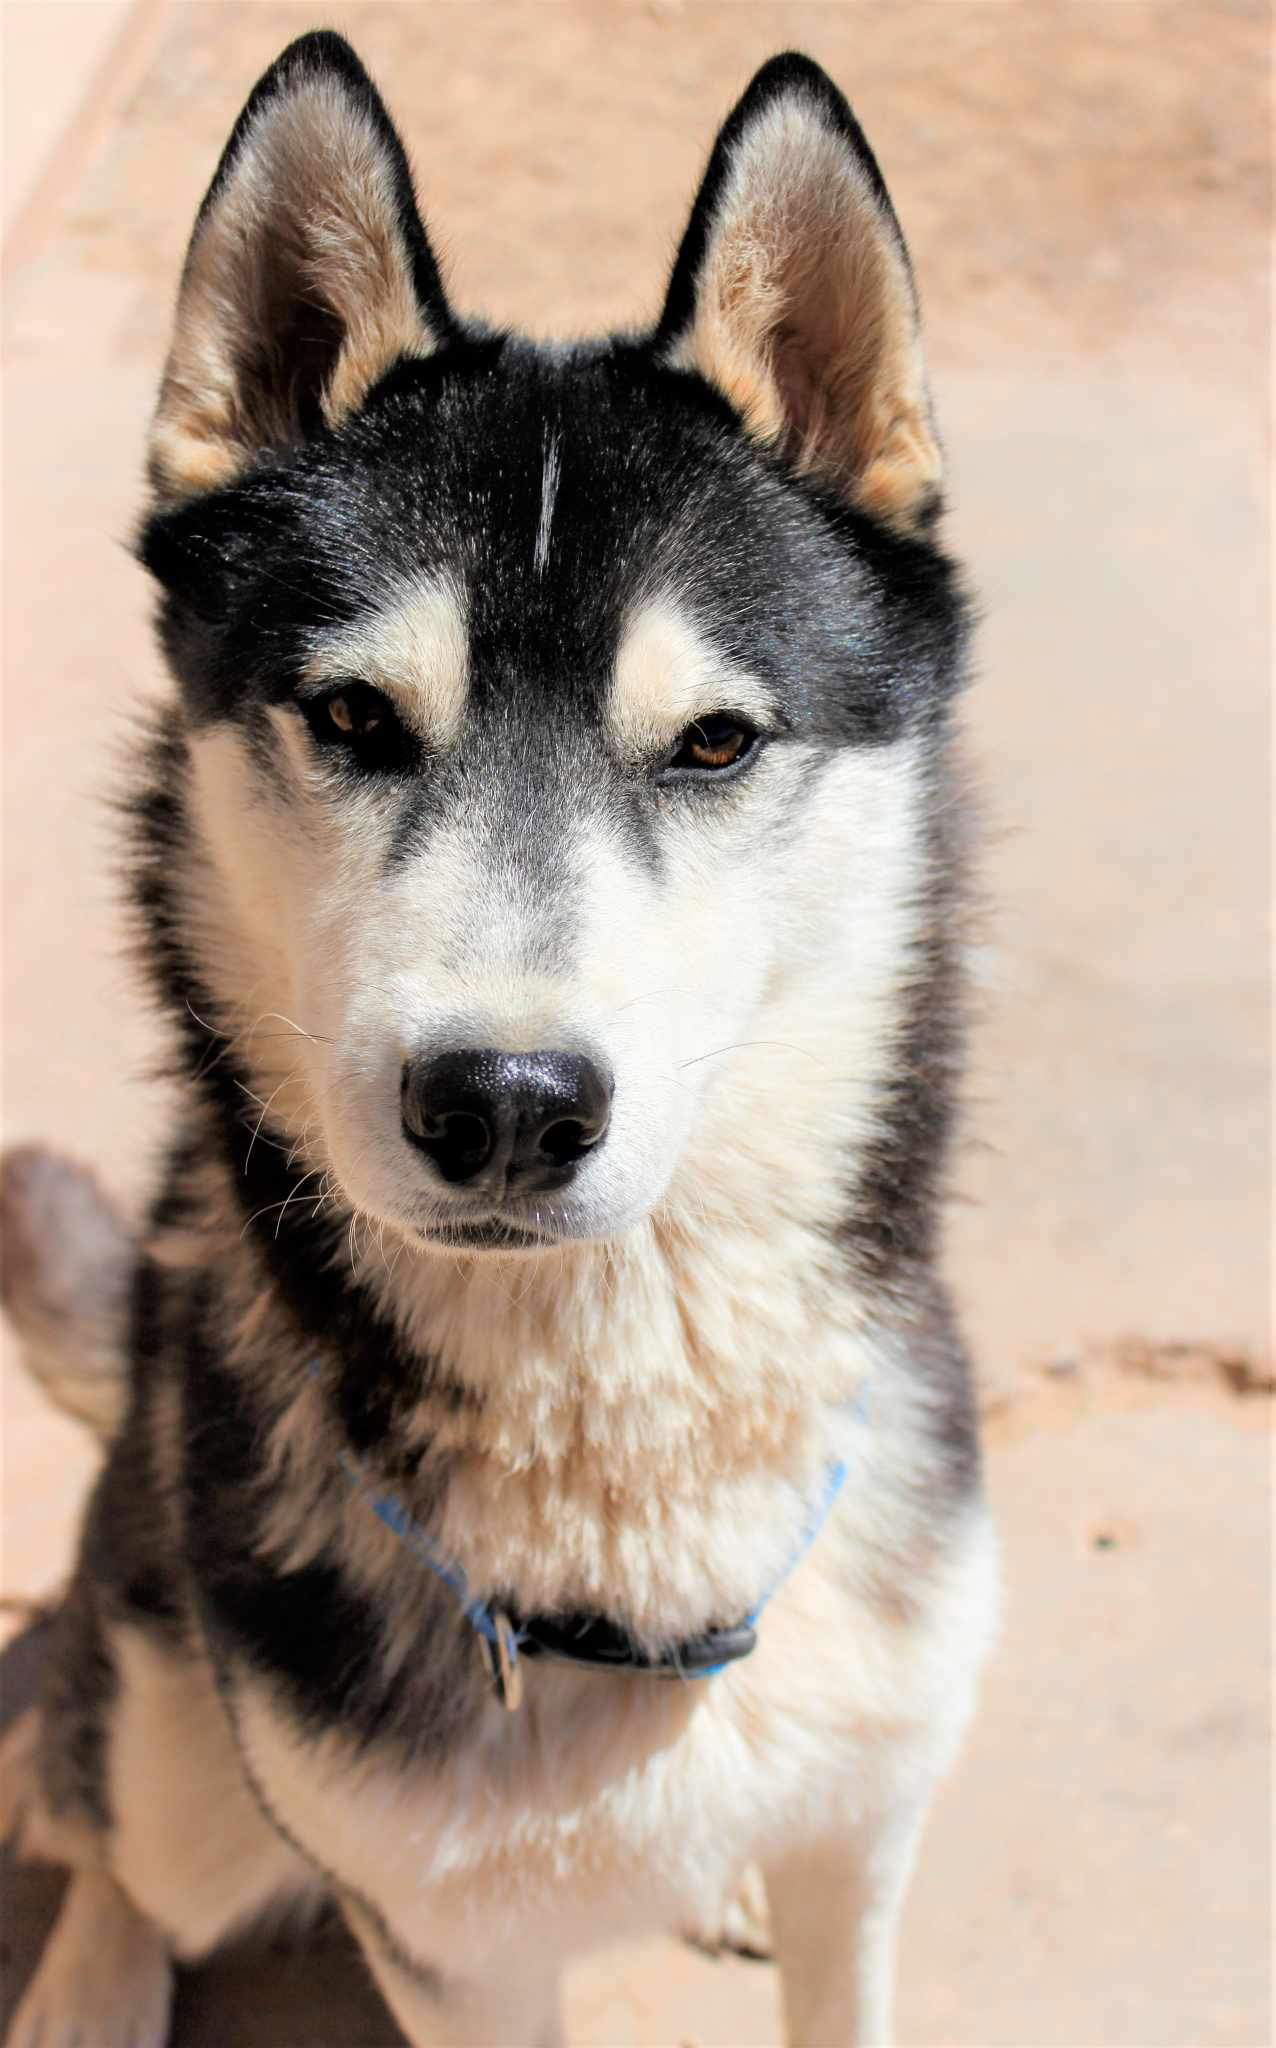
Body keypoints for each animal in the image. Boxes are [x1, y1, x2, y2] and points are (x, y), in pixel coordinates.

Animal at [2, 36, 999, 2048]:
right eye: (356, 718)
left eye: (714, 741)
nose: (508, 1105)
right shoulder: (448, 1949)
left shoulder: (868, 1830)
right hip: (181, 1746)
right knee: (87, 1790)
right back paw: (85, 1976)